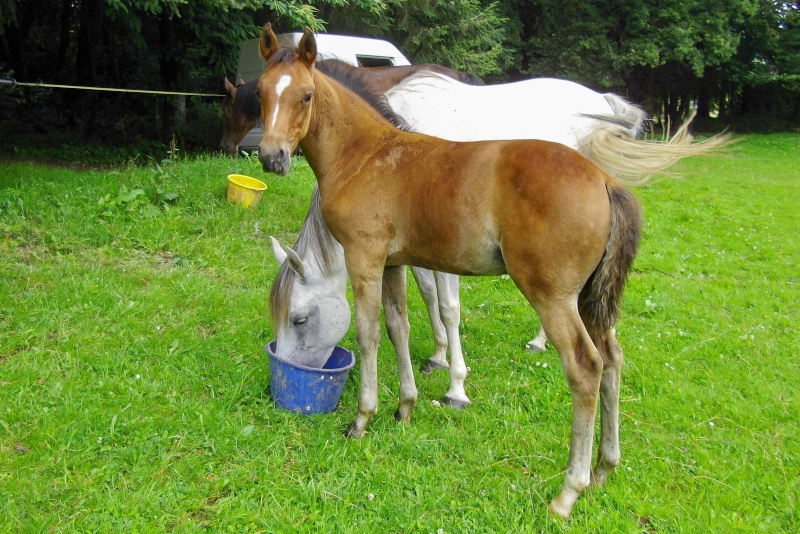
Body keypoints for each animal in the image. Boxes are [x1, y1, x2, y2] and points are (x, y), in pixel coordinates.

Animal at [256, 23, 644, 520]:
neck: (365, 154)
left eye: (305, 96)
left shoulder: (365, 258)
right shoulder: (395, 263)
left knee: (585, 367)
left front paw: (362, 419)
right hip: (590, 298)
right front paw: (405, 408)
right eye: (261, 91)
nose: (272, 156)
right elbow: (398, 327)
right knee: (612, 358)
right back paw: (603, 470)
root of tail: (606, 181)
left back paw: (568, 492)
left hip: (553, 296)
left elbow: (368, 334)